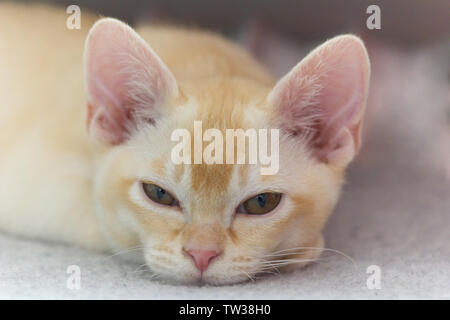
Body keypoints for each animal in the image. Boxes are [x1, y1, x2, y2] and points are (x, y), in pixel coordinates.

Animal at [0, 3, 370, 284]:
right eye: (158, 194)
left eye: (261, 203)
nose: (201, 255)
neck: (207, 61)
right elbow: (108, 230)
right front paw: (304, 249)